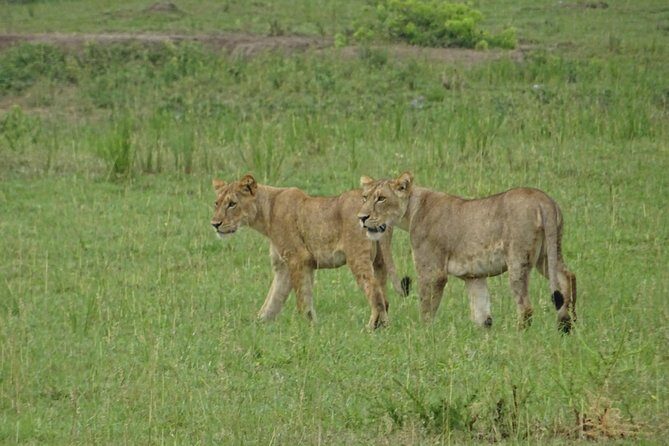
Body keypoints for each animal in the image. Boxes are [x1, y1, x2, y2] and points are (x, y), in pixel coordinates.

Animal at [211, 174, 408, 329]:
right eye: (217, 203)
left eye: (232, 204)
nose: (214, 224)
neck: (266, 211)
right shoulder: (283, 266)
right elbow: (273, 300)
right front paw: (258, 325)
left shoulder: (299, 258)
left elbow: (302, 299)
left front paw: (309, 327)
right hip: (379, 260)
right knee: (383, 293)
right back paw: (384, 325)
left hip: (357, 256)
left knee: (374, 290)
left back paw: (371, 327)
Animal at [357, 172, 577, 332]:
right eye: (365, 197)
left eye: (381, 199)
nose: (361, 217)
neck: (412, 210)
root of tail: (543, 199)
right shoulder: (474, 276)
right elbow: (482, 314)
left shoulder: (432, 271)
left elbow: (426, 306)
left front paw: (424, 334)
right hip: (547, 255)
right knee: (568, 276)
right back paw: (566, 326)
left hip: (518, 259)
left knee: (526, 306)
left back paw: (519, 335)